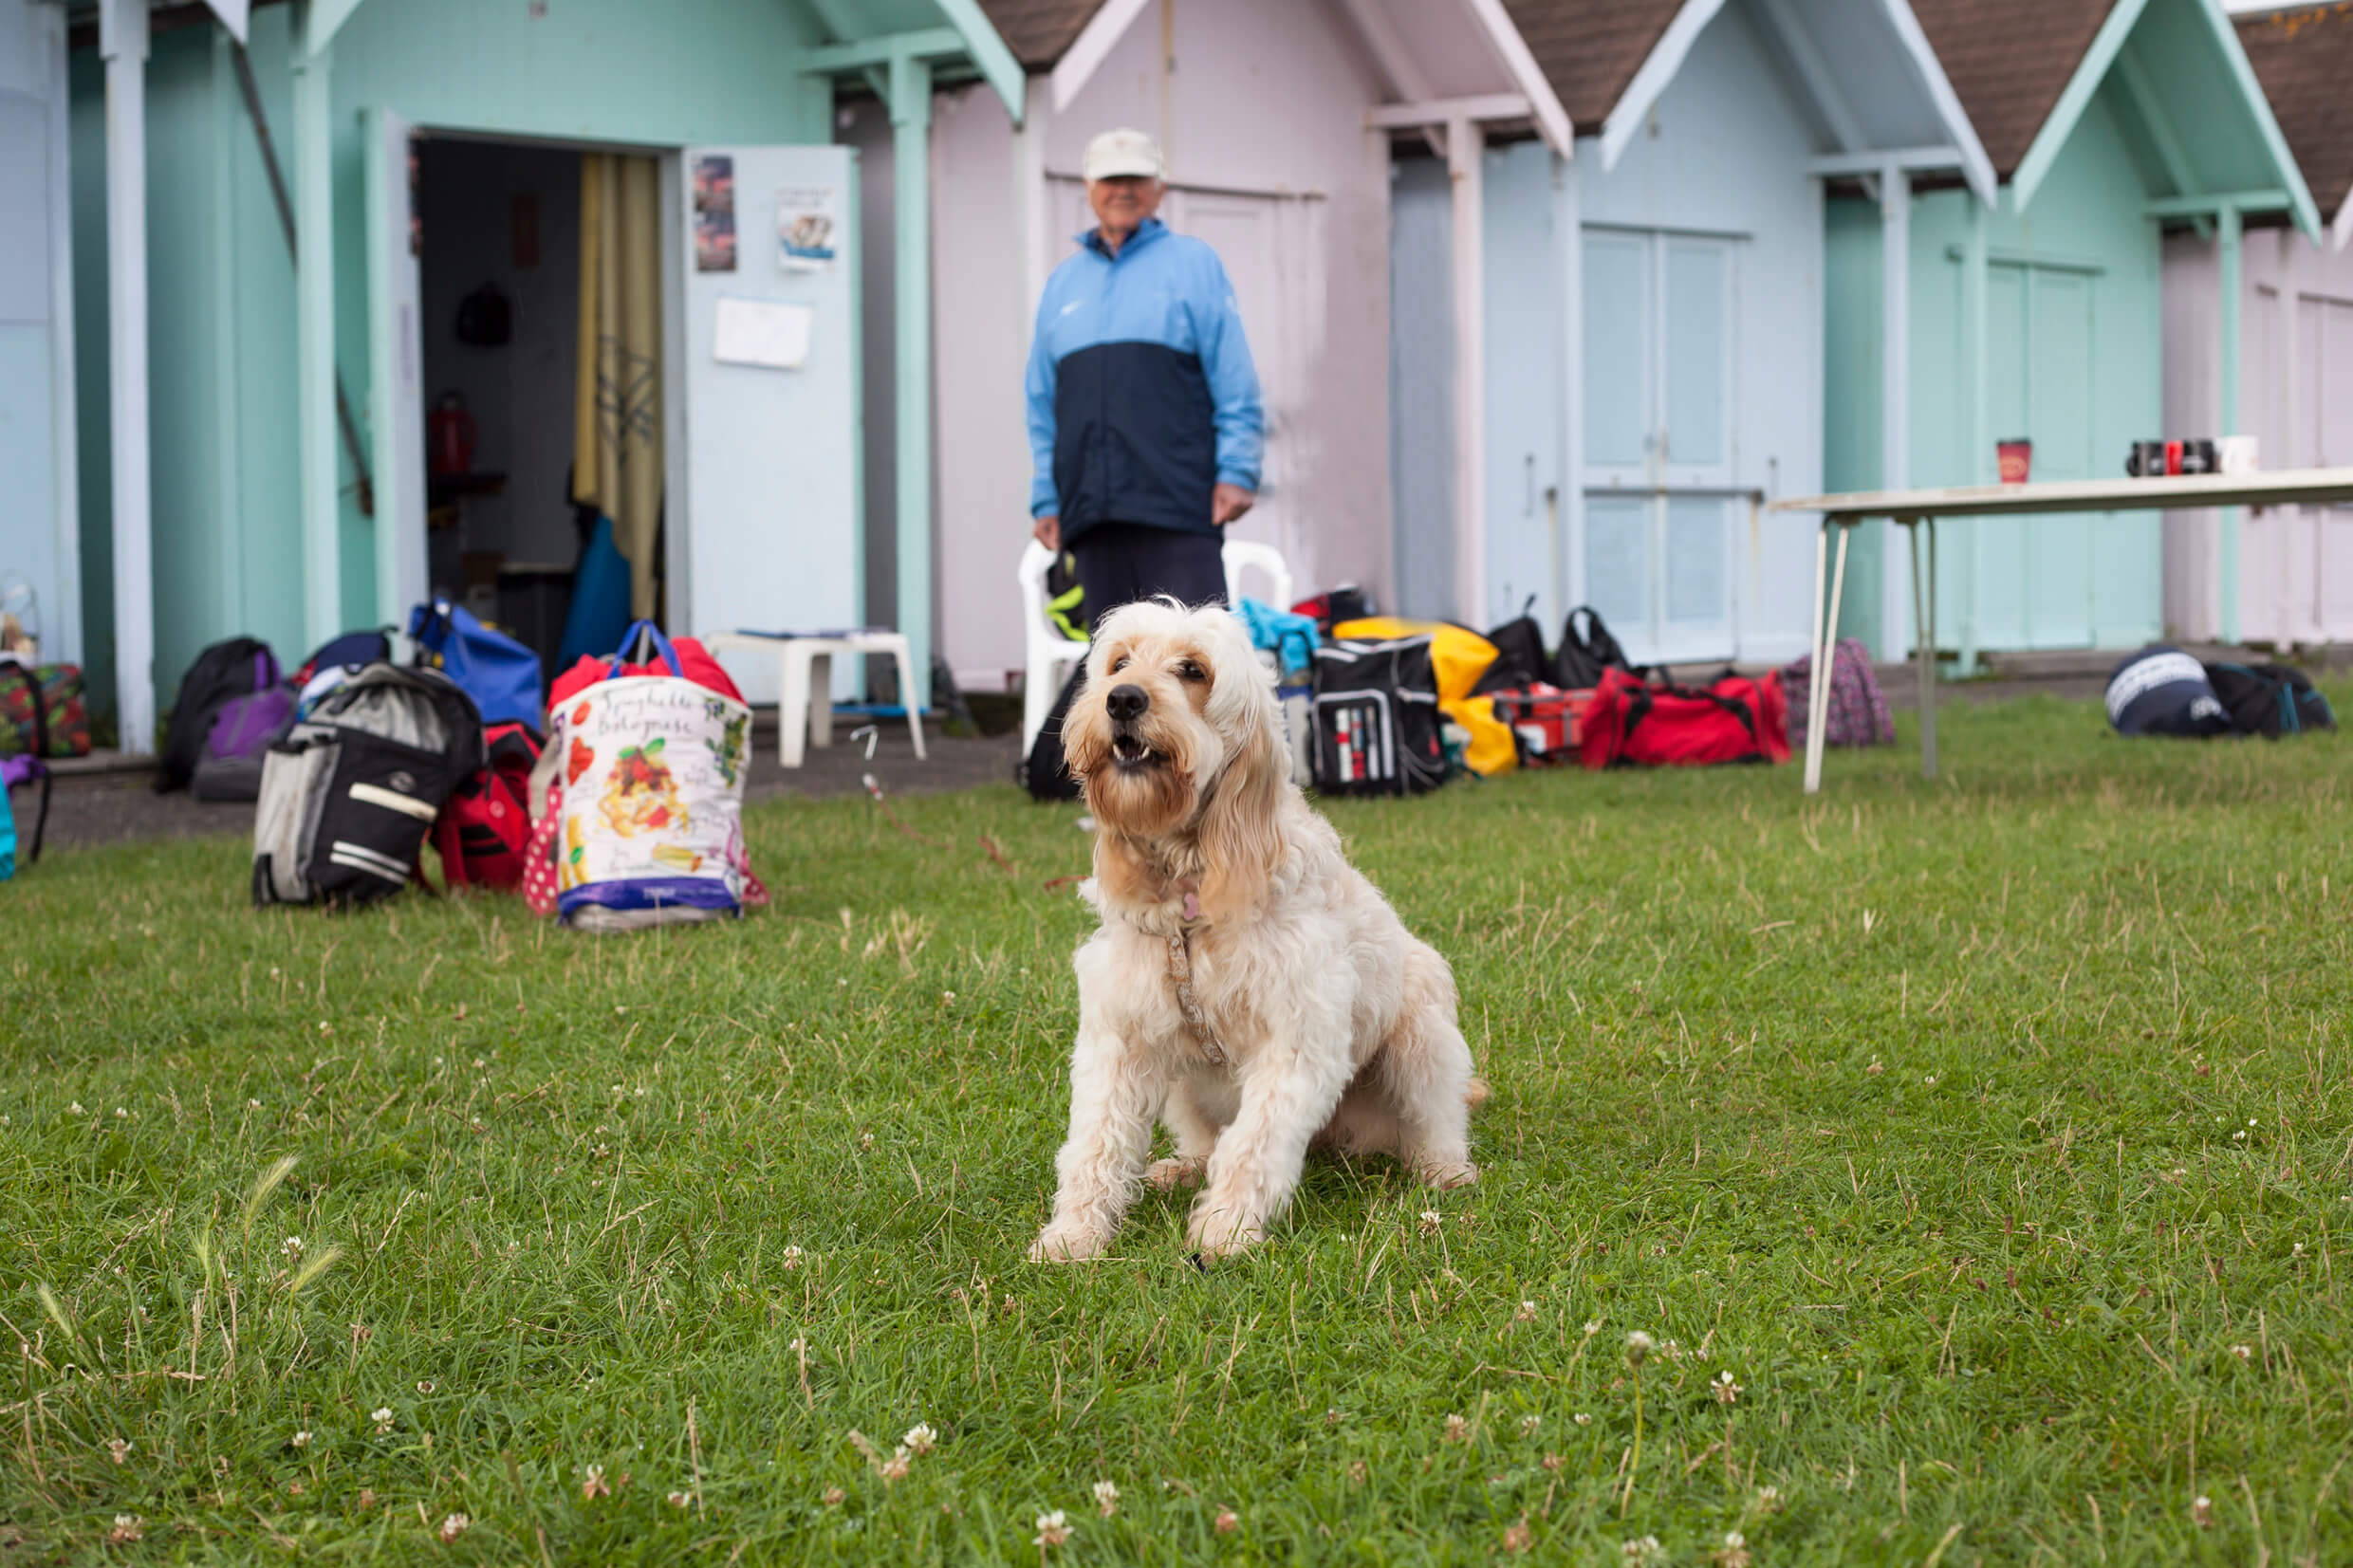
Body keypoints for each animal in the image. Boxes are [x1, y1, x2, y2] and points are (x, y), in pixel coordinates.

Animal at [1026, 597, 1468, 1260]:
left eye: (1193, 670)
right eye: (1119, 662)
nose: (1122, 700)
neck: (1187, 900)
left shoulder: (1298, 1039)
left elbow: (1254, 1142)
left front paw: (1226, 1227)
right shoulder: (1121, 1036)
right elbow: (1096, 1141)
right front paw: (1074, 1233)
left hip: (1423, 1033)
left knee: (1437, 1120)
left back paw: (1448, 1172)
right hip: (1183, 1085)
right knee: (1201, 1140)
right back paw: (1179, 1168)